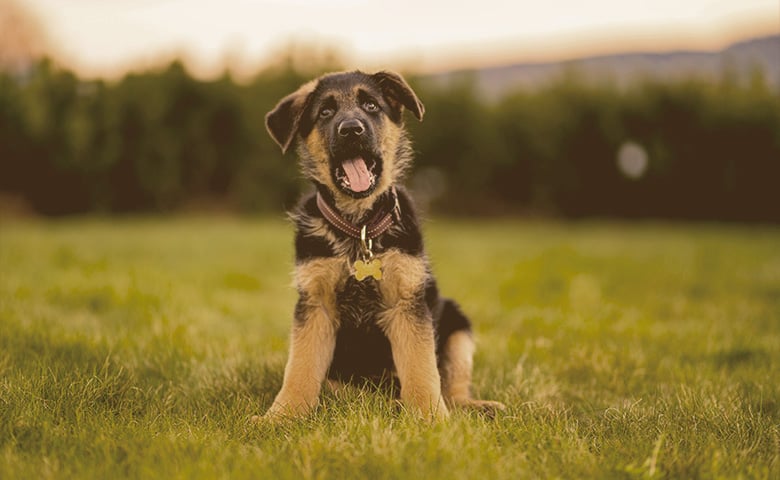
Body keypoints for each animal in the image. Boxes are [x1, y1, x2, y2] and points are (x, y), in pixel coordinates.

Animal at [262, 71, 506, 420]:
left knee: (452, 388)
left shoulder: (406, 304)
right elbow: (300, 368)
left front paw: (432, 419)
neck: (359, 226)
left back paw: (472, 406)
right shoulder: (315, 305)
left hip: (457, 325)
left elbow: (422, 369)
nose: (352, 129)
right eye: (325, 112)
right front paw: (281, 417)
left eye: (371, 106)